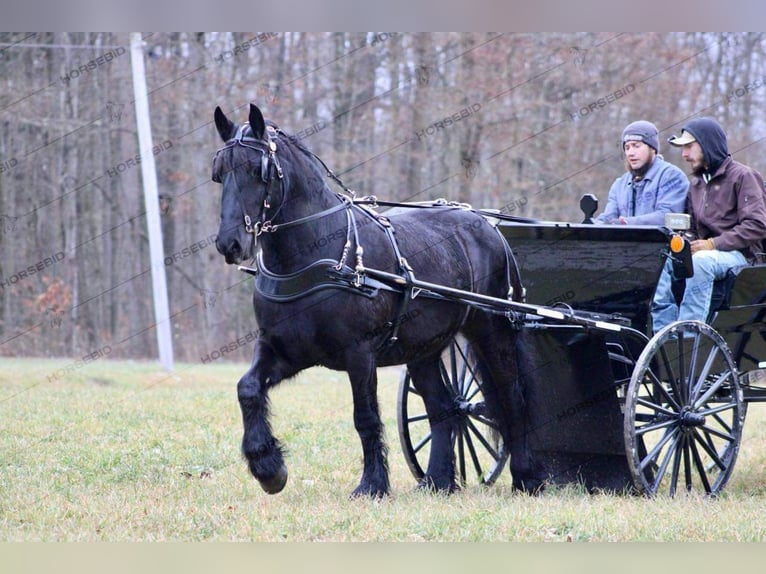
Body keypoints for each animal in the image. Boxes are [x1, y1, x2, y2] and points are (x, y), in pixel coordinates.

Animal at [210, 104, 540, 500]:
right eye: (219, 173)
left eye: (255, 170)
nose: (229, 244)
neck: (316, 255)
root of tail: (488, 225)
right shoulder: (284, 349)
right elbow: (247, 388)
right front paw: (268, 468)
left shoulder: (359, 352)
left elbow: (364, 417)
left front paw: (371, 485)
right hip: (424, 349)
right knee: (444, 408)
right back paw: (438, 481)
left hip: (493, 330)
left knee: (512, 399)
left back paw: (525, 478)